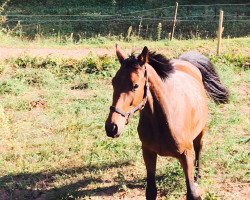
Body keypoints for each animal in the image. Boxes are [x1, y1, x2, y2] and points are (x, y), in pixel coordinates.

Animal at [104, 45, 228, 200]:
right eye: (113, 82)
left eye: (135, 85)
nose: (111, 127)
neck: (164, 120)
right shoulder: (148, 153)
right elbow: (151, 191)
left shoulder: (186, 155)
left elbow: (192, 193)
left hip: (200, 131)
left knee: (199, 149)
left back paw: (197, 175)